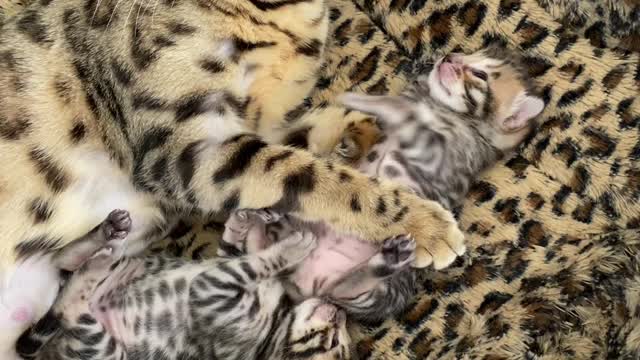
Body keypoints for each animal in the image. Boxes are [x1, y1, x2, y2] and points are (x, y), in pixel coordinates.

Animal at [0, 0, 462, 358]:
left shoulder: (261, 125)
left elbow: (303, 142)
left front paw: (363, 124)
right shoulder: (184, 149)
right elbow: (305, 173)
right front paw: (425, 225)